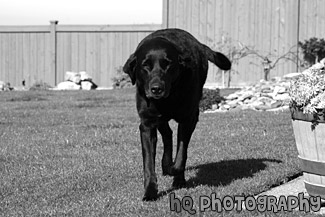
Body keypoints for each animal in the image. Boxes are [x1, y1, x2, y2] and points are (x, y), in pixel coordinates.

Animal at [122, 28, 230, 201]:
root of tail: (200, 44)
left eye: (168, 65)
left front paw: (174, 171)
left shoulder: (188, 119)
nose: (156, 89)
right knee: (167, 134)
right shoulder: (147, 124)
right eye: (145, 65)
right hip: (159, 119)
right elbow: (148, 164)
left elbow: (181, 154)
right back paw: (166, 165)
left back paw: (176, 176)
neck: (168, 98)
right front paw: (150, 191)